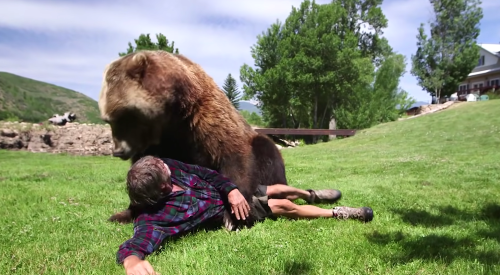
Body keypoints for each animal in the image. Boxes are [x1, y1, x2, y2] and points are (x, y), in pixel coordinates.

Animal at [97, 50, 288, 231]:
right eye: (108, 119)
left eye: (123, 116)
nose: (118, 151)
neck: (172, 116)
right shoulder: (157, 142)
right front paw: (123, 213)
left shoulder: (204, 117)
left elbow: (233, 155)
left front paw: (233, 217)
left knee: (267, 152)